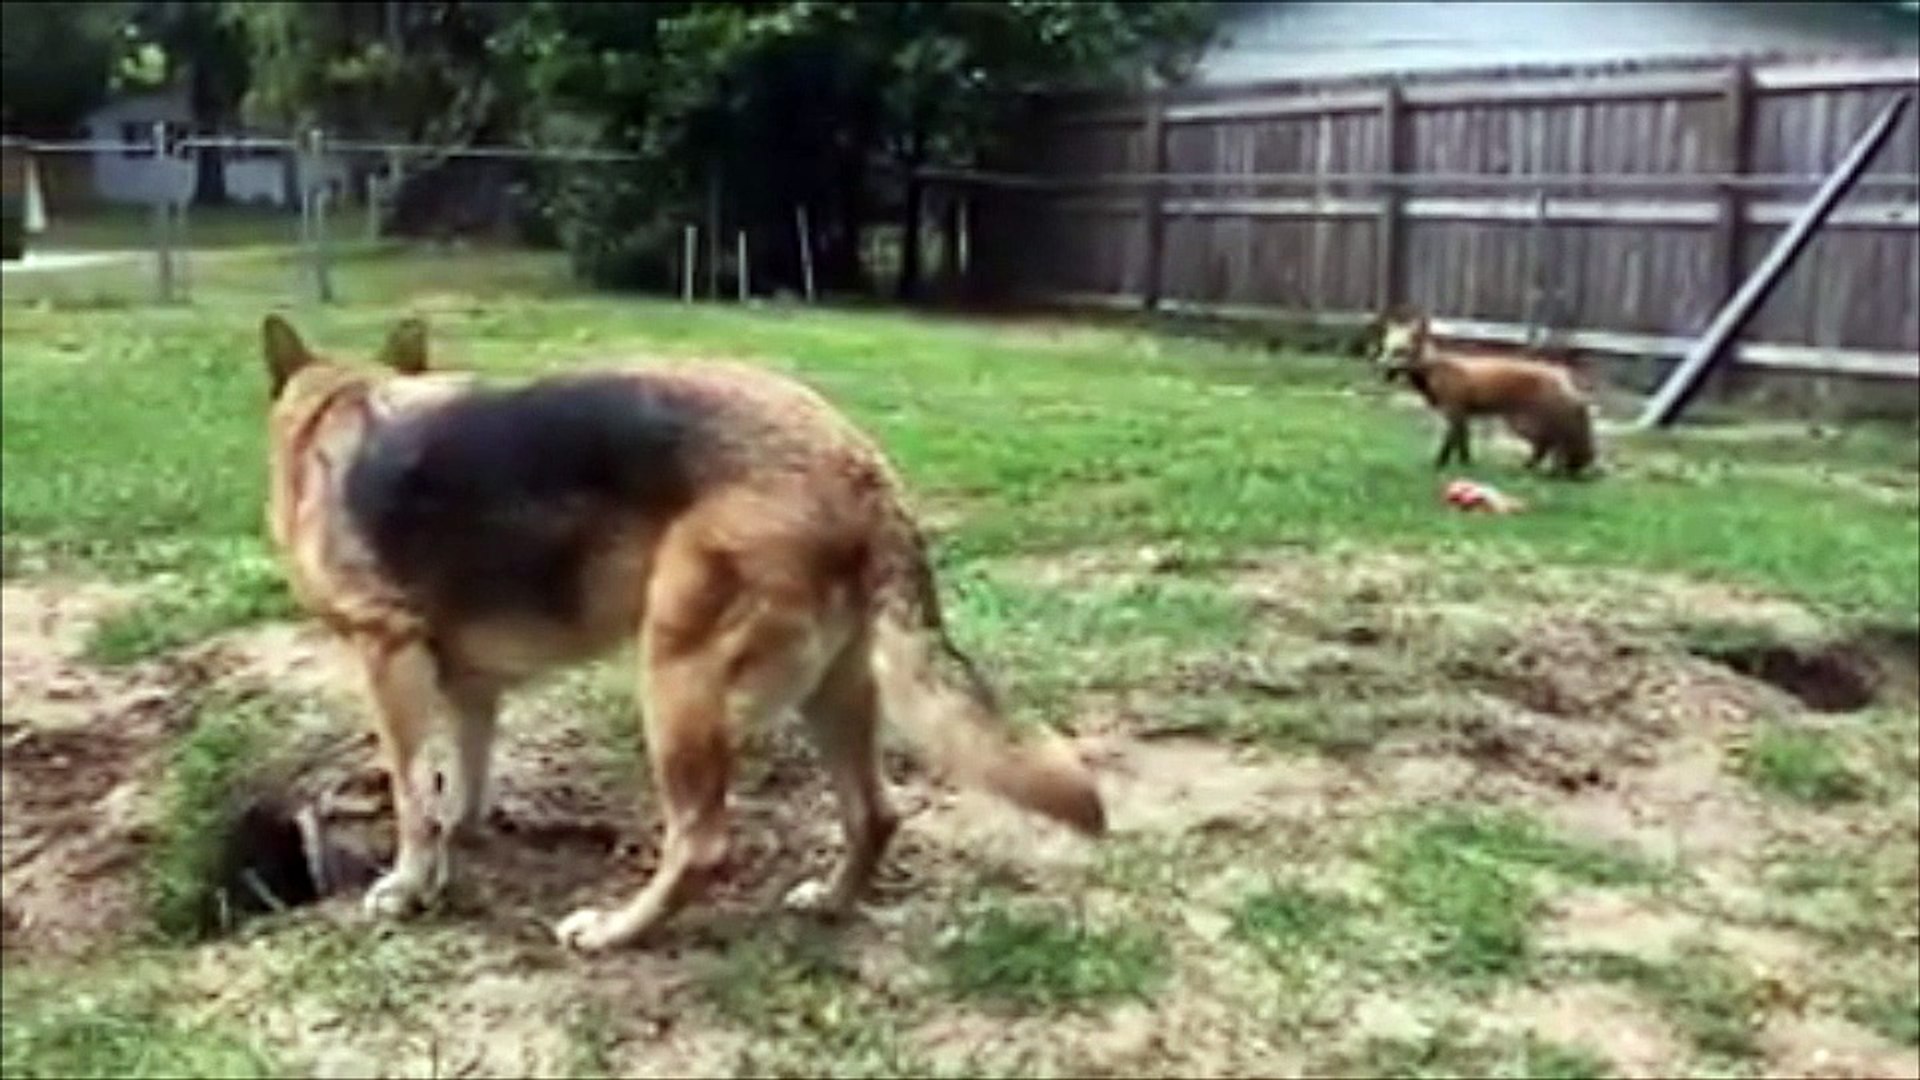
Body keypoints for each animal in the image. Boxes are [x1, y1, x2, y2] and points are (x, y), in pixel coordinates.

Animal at [1371, 310, 1597, 478]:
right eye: (1385, 350)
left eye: (1400, 352)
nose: (1379, 366)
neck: (1435, 371)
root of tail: (1563, 374)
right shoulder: (1462, 417)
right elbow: (1463, 447)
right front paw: (1466, 466)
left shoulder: (1455, 414)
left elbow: (1448, 447)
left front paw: (1439, 466)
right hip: (1527, 425)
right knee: (1547, 447)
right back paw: (1534, 469)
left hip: (1524, 425)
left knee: (1550, 446)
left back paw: (1542, 472)